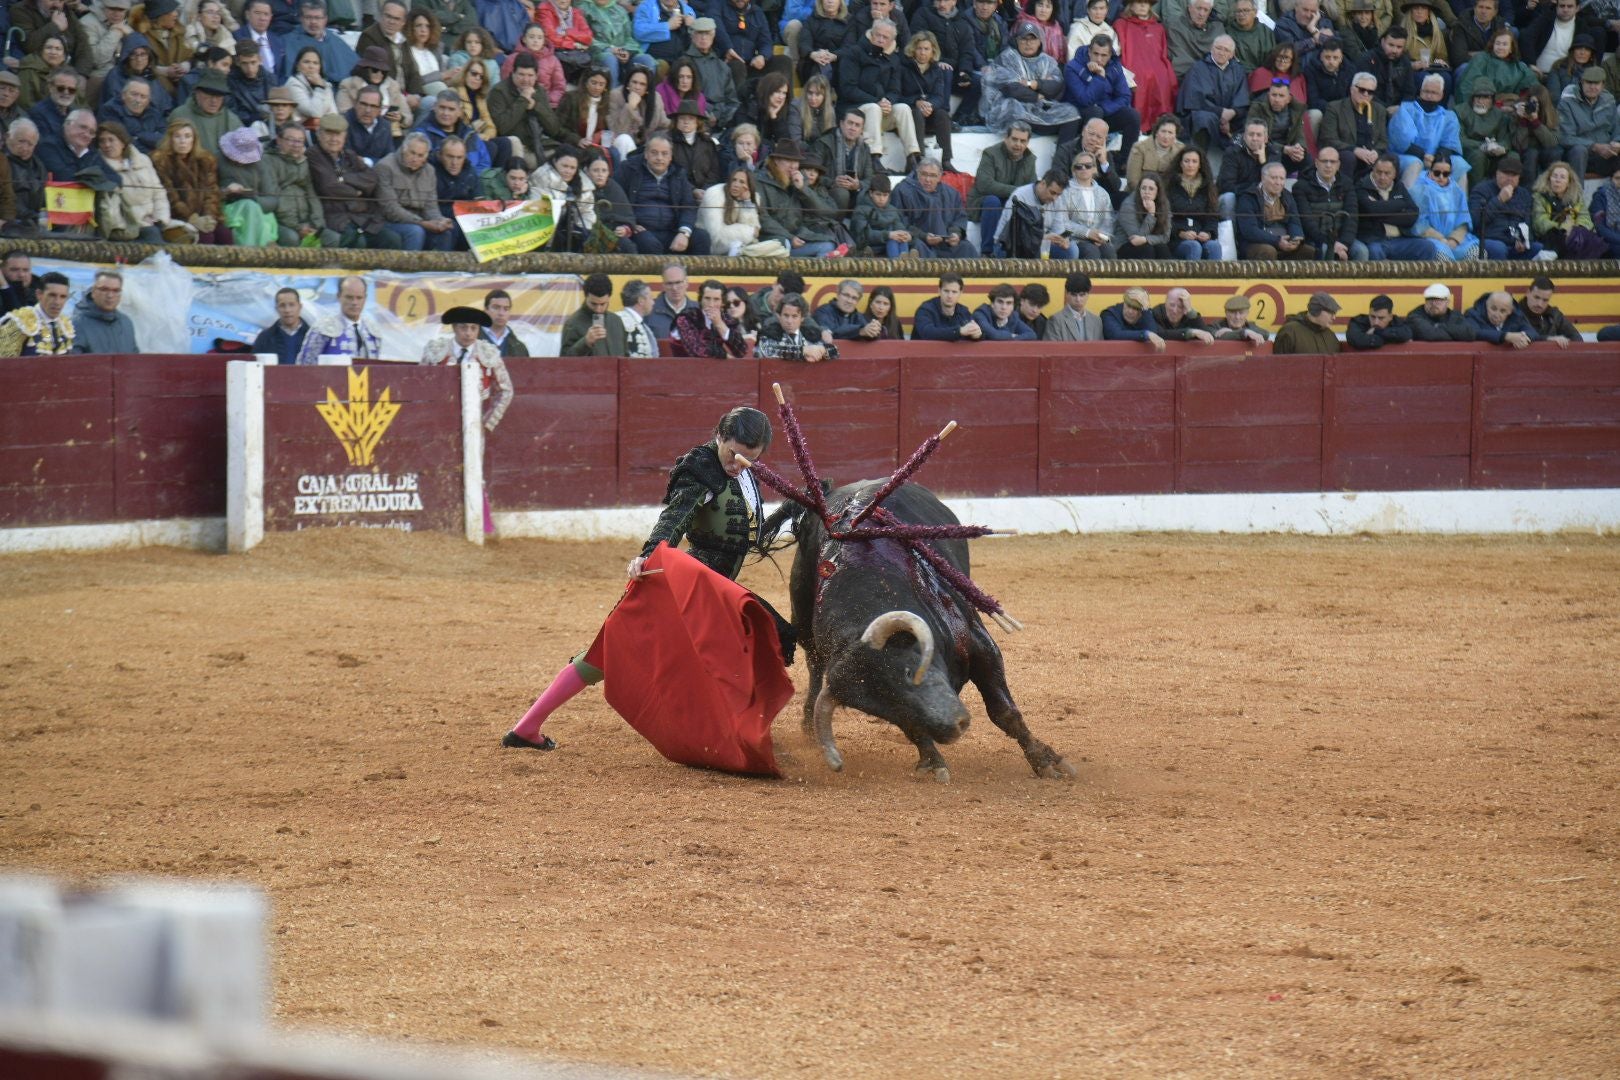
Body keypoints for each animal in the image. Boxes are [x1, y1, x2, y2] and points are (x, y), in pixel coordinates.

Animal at [787, 482, 1075, 786]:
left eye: (909, 671)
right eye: (882, 709)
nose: (952, 727)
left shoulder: (981, 646)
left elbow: (1003, 711)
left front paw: (1045, 761)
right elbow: (914, 728)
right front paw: (933, 761)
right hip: (803, 624)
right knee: (815, 666)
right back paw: (808, 725)